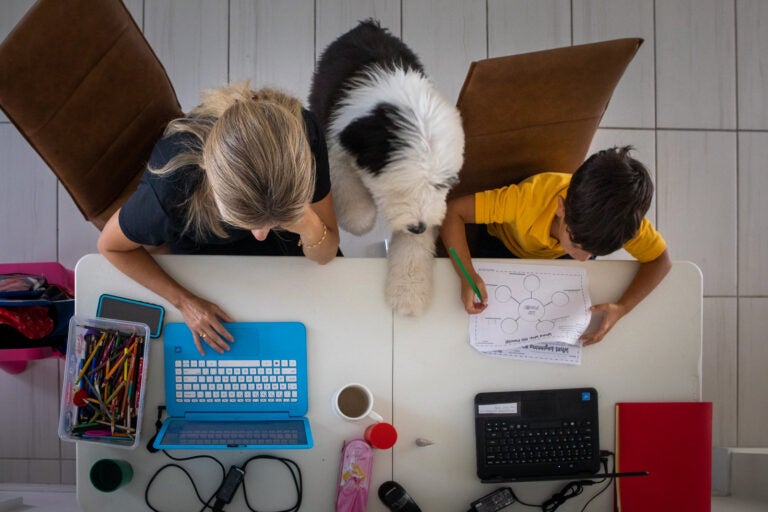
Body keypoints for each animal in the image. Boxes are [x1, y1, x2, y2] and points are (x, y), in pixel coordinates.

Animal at [308, 20, 464, 316]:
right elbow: (343, 177)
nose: (418, 227)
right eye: (400, 186)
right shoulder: (338, 133)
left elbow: (414, 245)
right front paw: (360, 217)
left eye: (441, 185)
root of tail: (368, 24)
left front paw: (408, 293)